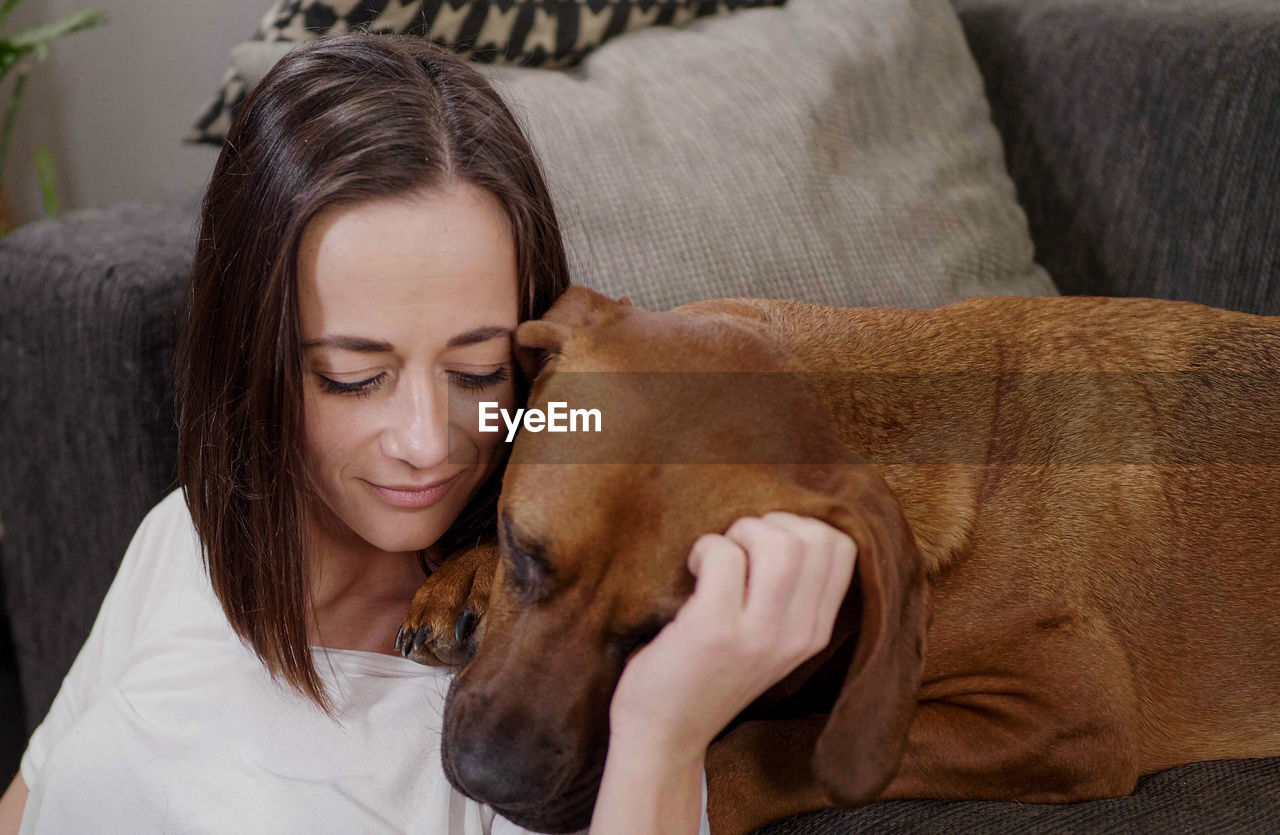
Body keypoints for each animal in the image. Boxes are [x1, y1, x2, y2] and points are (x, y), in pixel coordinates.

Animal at [399, 286, 1280, 835]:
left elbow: (767, 747)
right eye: (518, 545)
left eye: (666, 636)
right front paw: (465, 573)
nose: (487, 778)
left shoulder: (1067, 715)